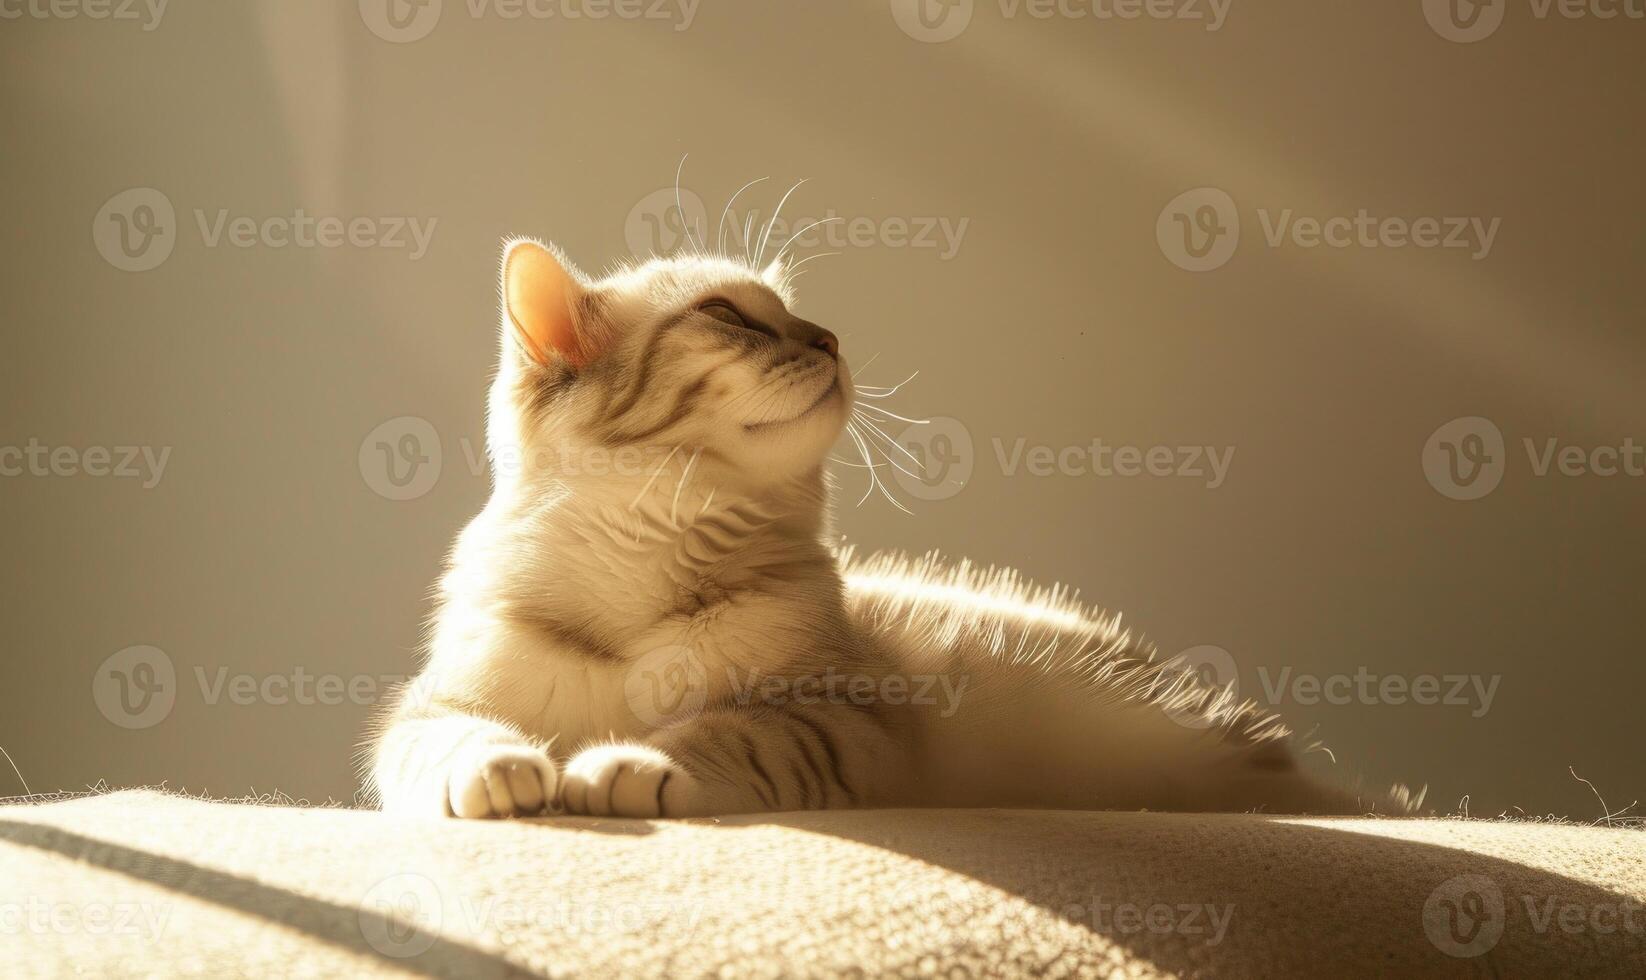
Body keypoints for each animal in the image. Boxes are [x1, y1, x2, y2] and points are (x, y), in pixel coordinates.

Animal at [367, 235, 1422, 820]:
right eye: (728, 314)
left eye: (798, 314)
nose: (832, 339)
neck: (649, 578)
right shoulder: (432, 706)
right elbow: (443, 746)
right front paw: (506, 772)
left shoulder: (831, 718)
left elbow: (710, 736)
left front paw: (624, 765)